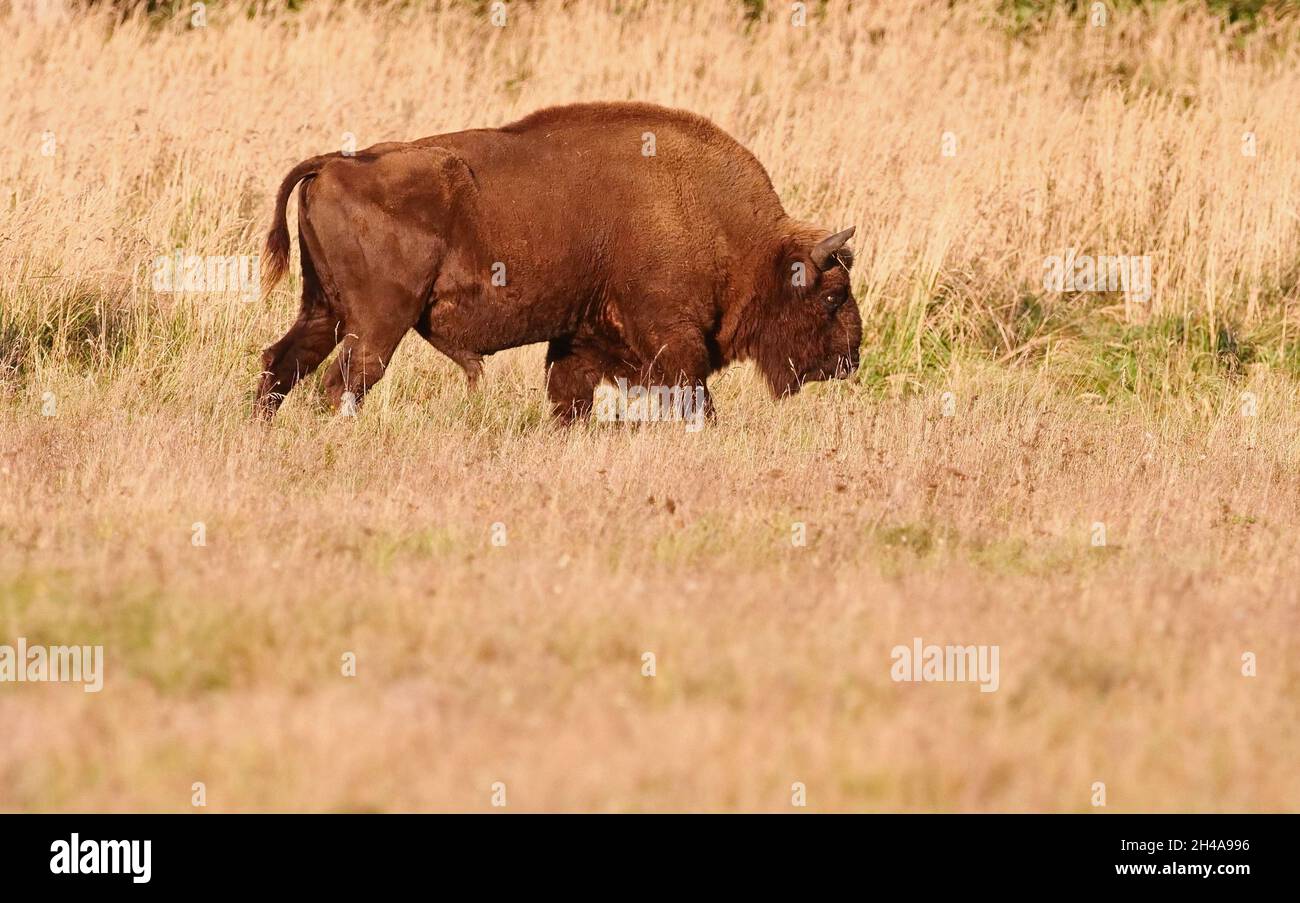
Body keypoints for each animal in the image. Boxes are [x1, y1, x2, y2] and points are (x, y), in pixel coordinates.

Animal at [253, 103, 863, 423]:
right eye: (832, 296)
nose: (850, 357)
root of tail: (335, 163)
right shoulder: (673, 337)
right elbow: (695, 398)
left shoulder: (580, 337)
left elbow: (570, 397)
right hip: (378, 321)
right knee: (344, 380)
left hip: (324, 308)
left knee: (283, 362)